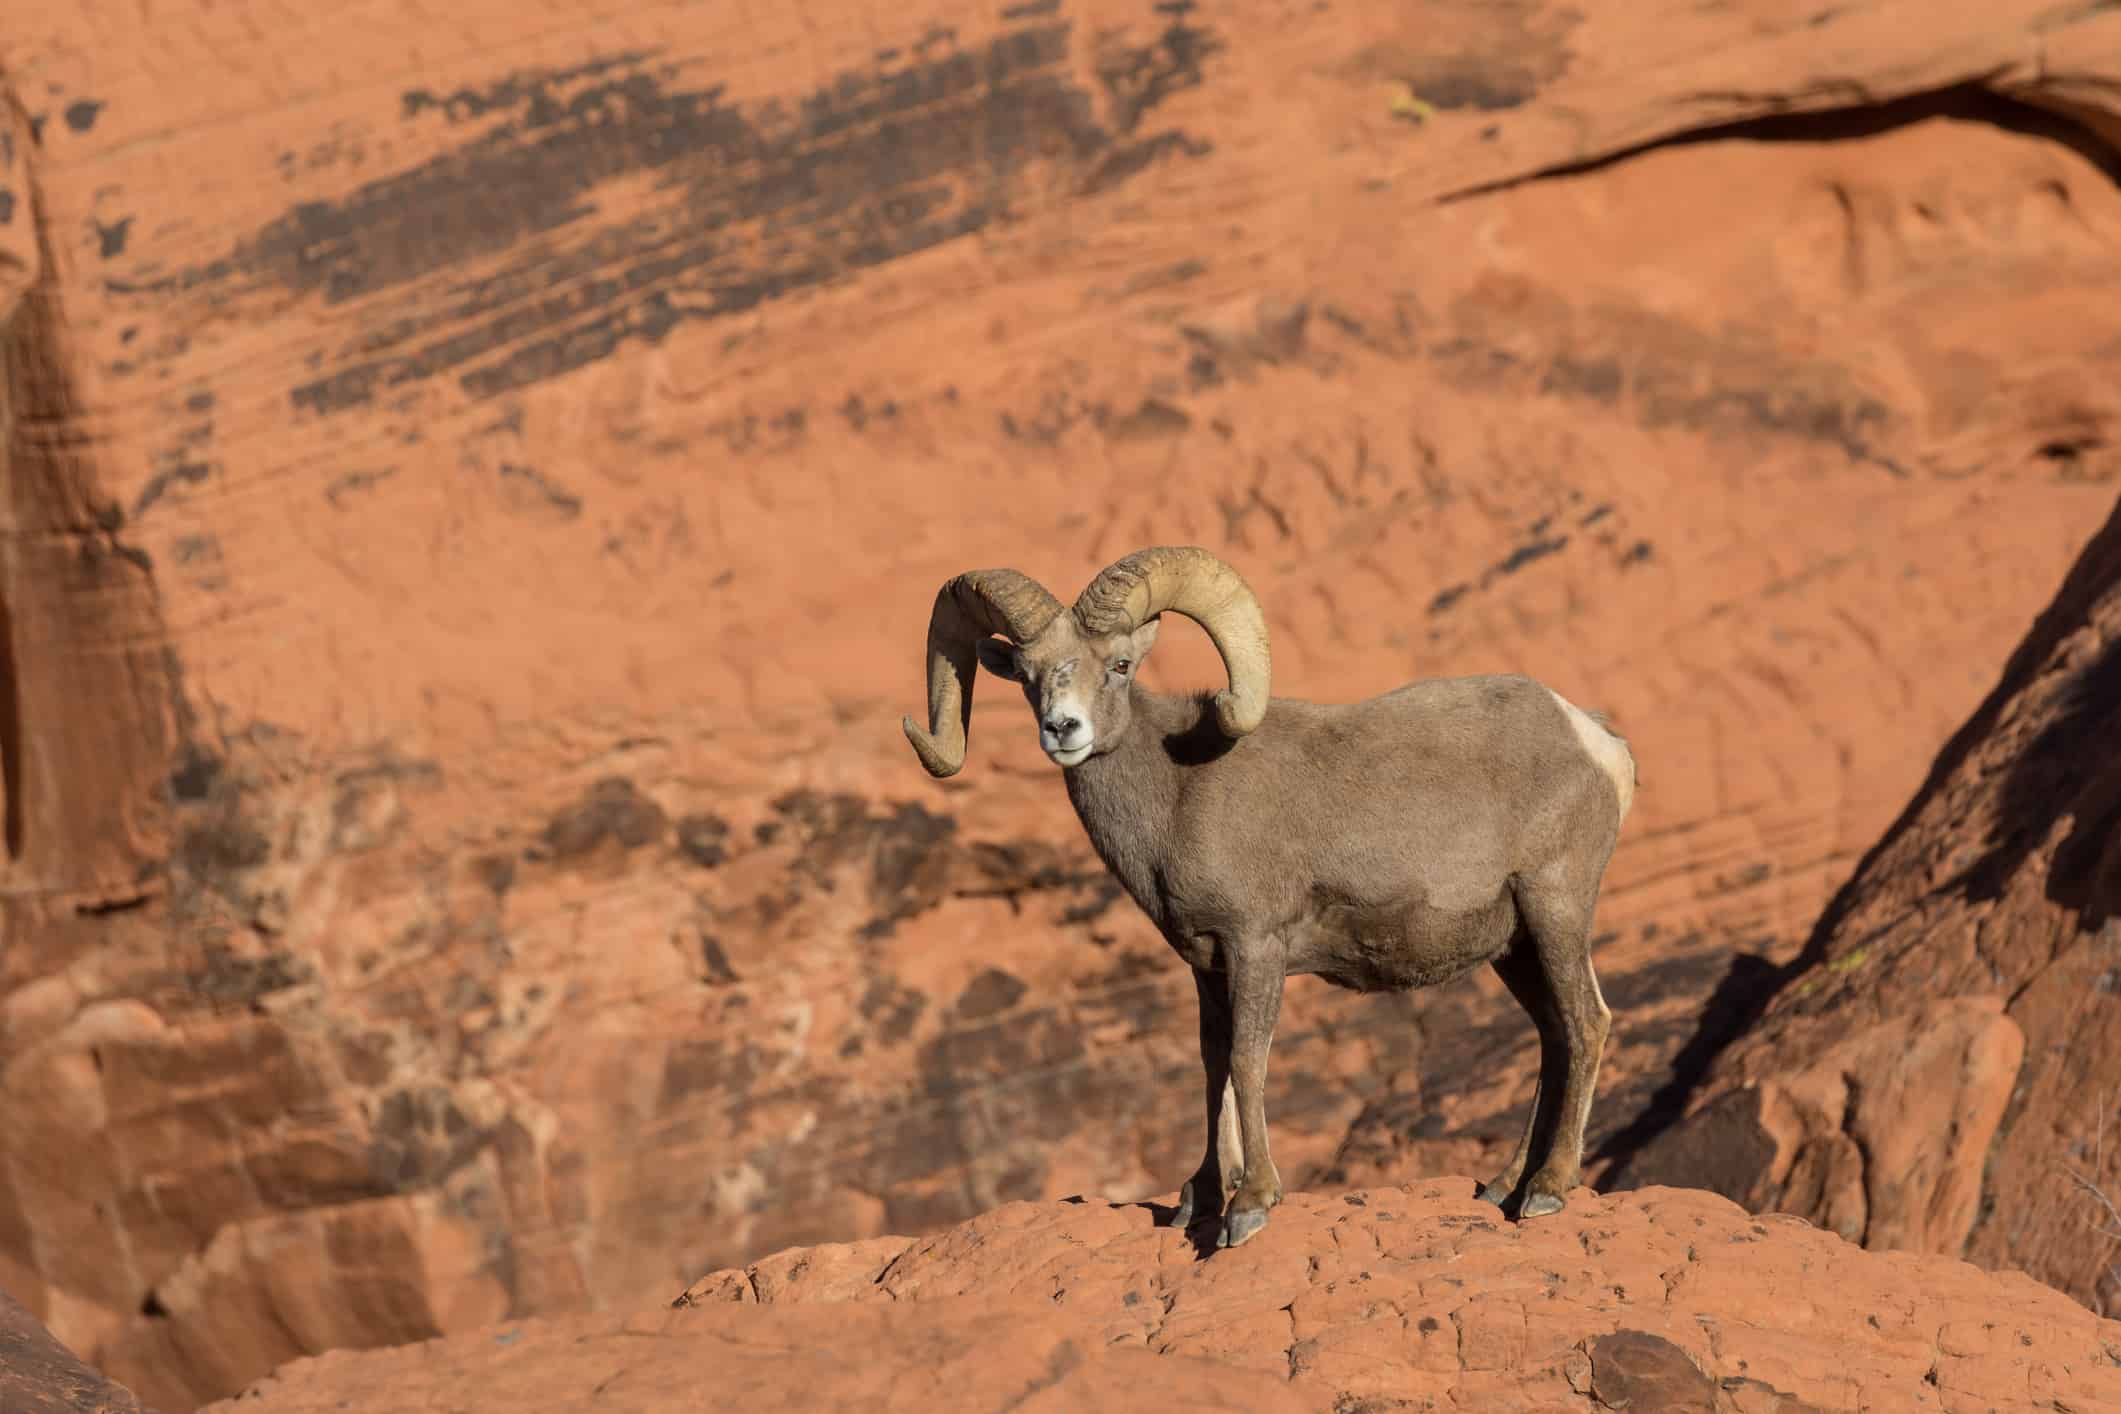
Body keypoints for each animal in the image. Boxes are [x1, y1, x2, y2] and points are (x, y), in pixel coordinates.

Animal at [902, 546, 1636, 1250]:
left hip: (1554, 910)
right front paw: (1199, 1199)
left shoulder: (1255, 947)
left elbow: (1247, 1063)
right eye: (1029, 676)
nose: (1062, 729)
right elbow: (1212, 1069)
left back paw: (1548, 1190)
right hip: (1513, 948)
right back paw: (1504, 1187)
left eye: (1117, 664)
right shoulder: (1205, 964)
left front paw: (1249, 1206)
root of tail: (1597, 742)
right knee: (1552, 1036)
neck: (1177, 794)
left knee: (1585, 1024)